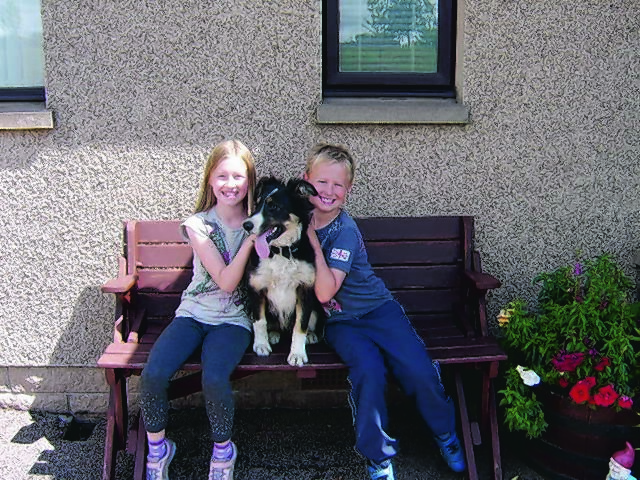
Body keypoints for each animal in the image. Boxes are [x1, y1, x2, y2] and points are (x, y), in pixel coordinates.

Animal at [244, 177, 328, 368]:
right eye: (257, 204)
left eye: (274, 206)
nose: (246, 225)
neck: (281, 252)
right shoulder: (256, 287)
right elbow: (259, 321)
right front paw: (261, 345)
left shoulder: (305, 288)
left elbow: (300, 324)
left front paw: (297, 354)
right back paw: (273, 334)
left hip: (316, 309)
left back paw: (311, 336)